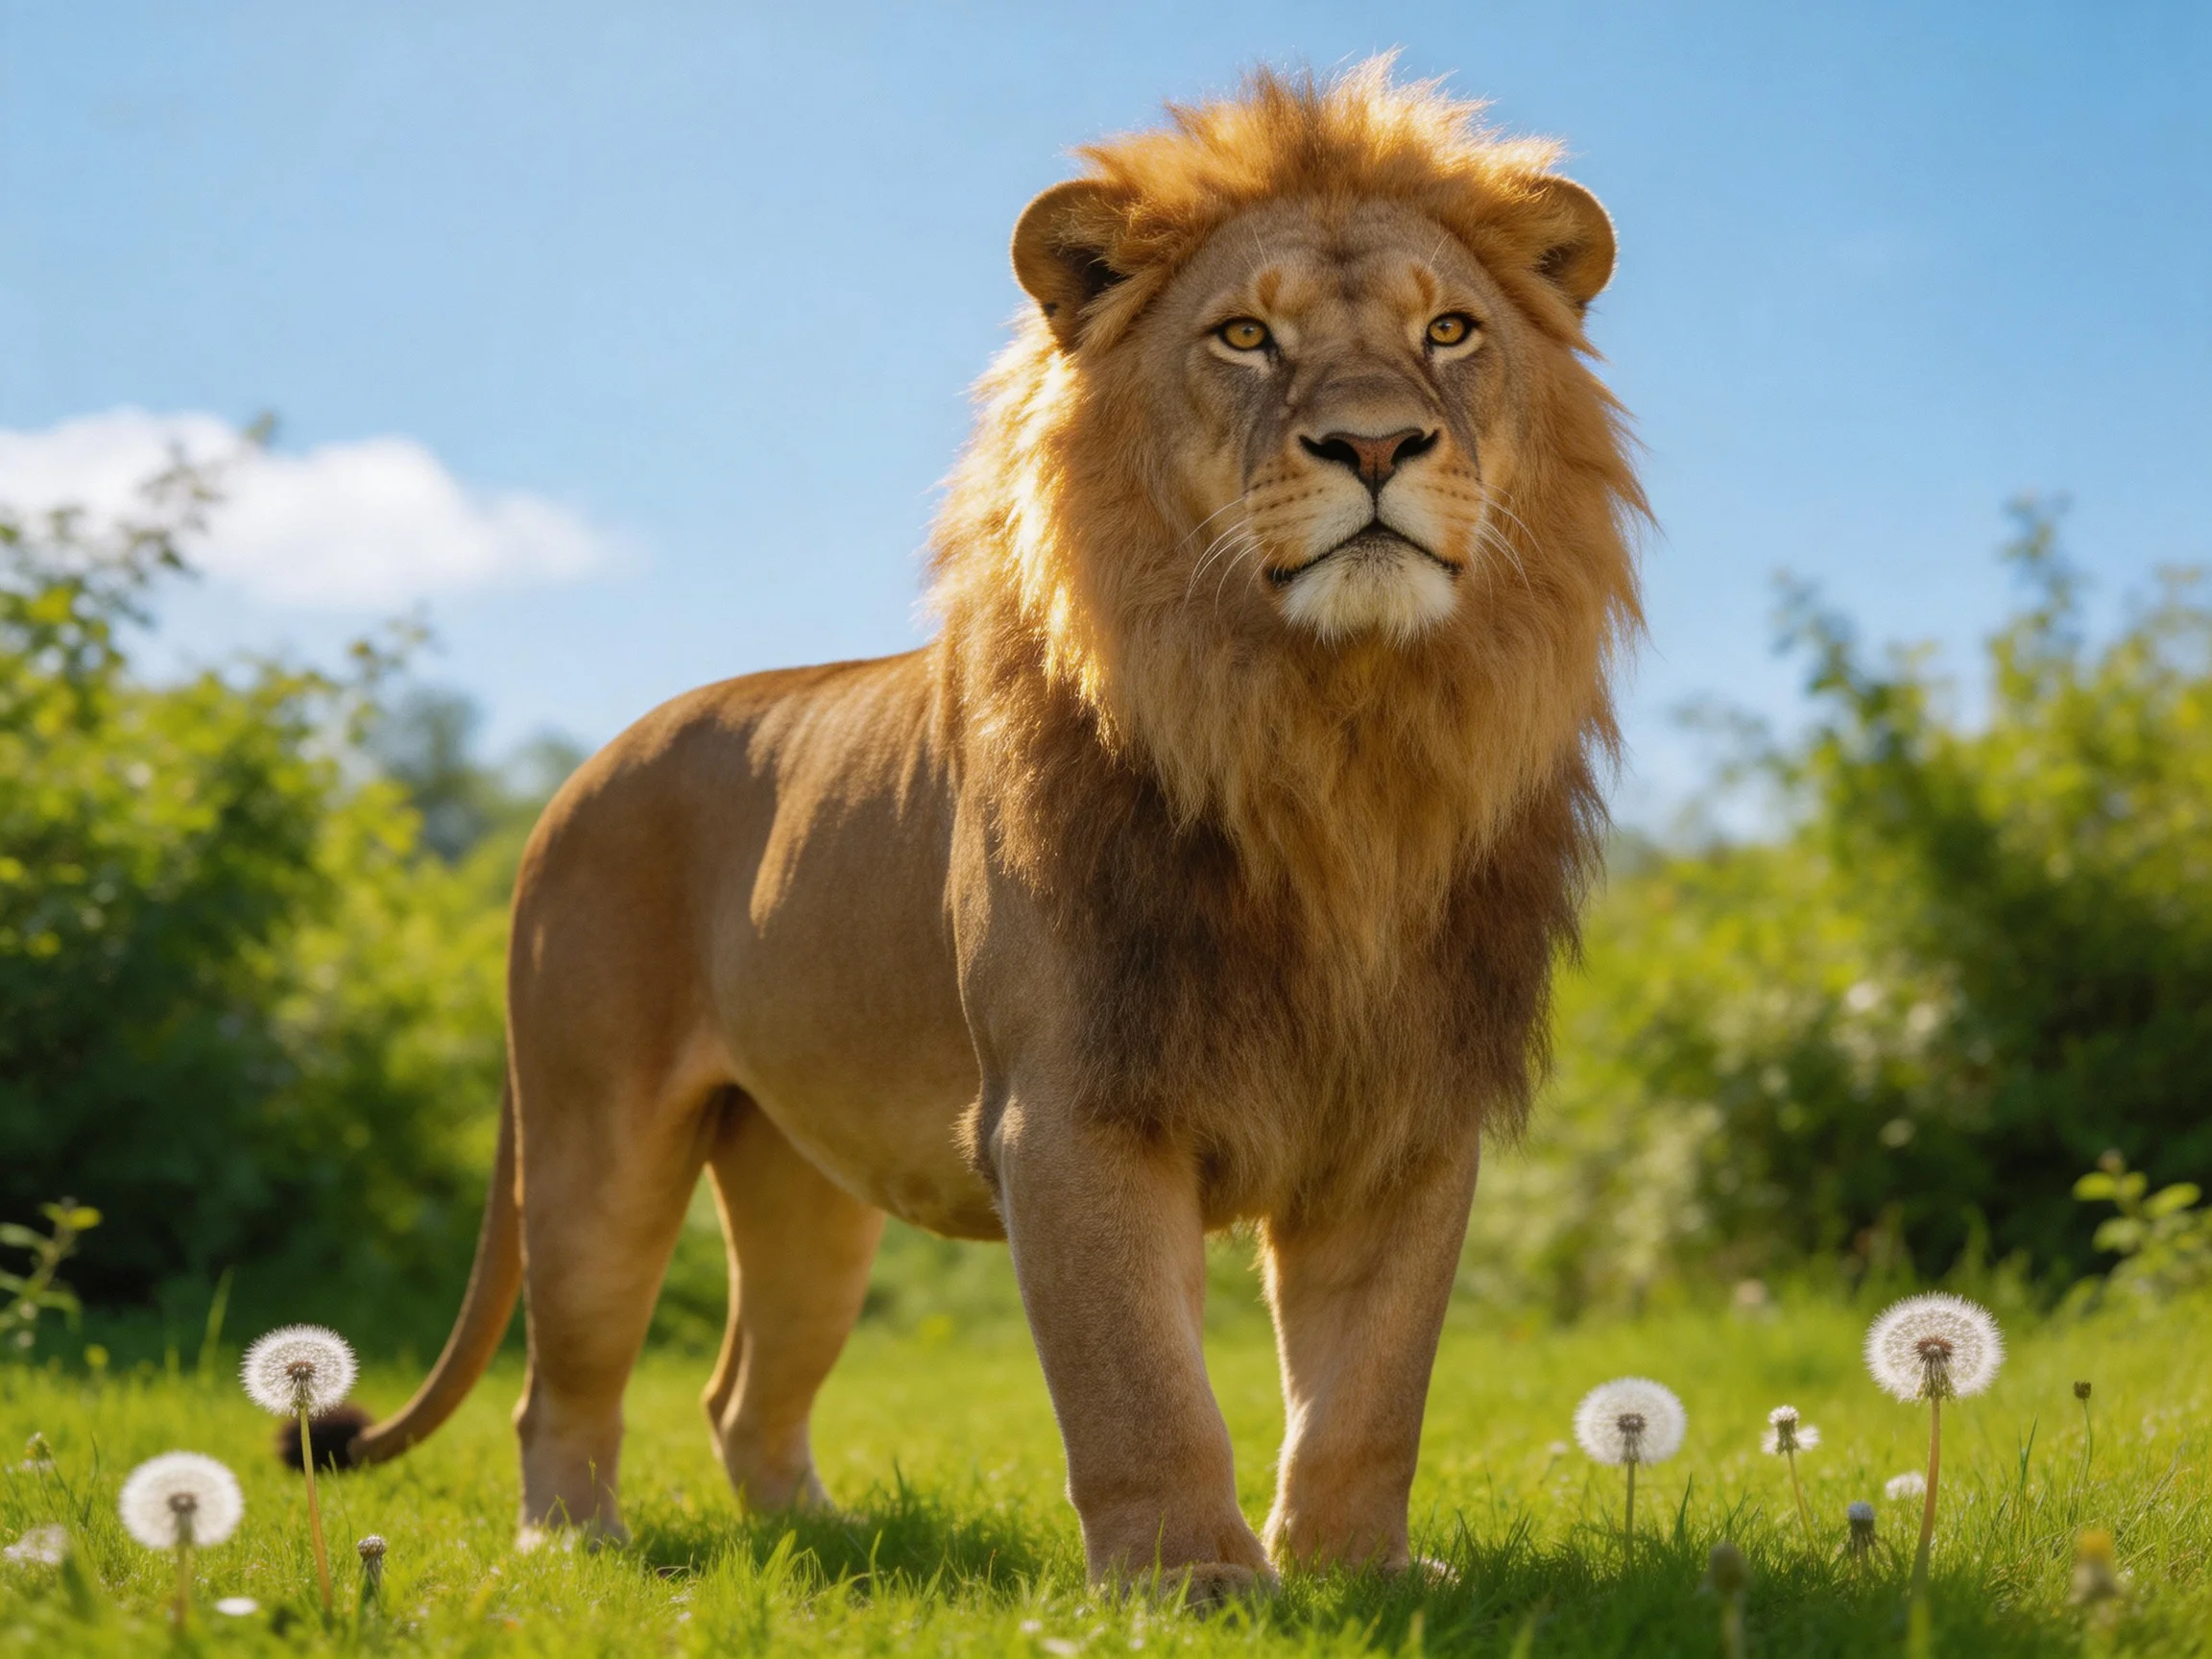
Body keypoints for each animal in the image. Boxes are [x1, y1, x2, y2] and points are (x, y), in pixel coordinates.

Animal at [331, 61, 1643, 1598]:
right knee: (564, 1382)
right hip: (596, 1140)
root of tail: (583, 770)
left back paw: (828, 1547)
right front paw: (1190, 1583)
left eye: (1450, 330)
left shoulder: (1408, 1114)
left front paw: (1353, 1573)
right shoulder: (1073, 1109)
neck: (1334, 734)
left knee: (741, 1391)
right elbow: (1139, 1379)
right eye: (1244, 337)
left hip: (804, 1190)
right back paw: (580, 1549)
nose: (1376, 442)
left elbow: (1371, 1388)